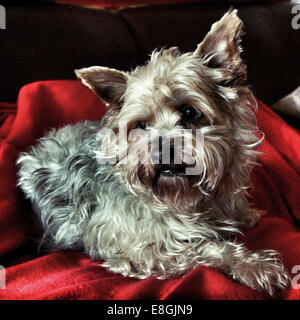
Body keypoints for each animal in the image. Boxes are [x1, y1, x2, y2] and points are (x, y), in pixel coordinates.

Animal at [17, 9, 290, 296]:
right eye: (141, 125)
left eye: (190, 112)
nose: (161, 153)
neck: (190, 198)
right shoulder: (141, 251)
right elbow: (207, 247)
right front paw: (256, 267)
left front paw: (245, 217)